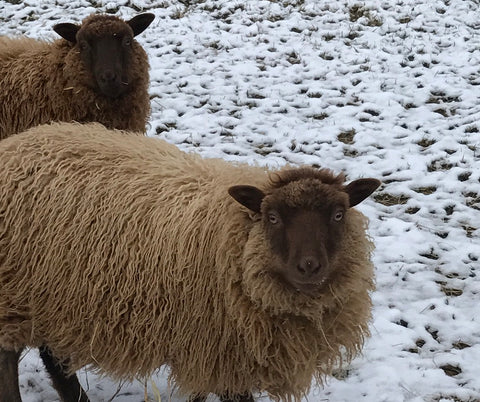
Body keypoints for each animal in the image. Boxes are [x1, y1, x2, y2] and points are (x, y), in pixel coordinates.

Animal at [0, 122, 382, 402]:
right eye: (272, 217)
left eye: (338, 214)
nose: (309, 267)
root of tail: (13, 146)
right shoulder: (219, 352)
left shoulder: (210, 350)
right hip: (16, 295)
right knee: (11, 360)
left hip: (51, 297)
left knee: (53, 356)